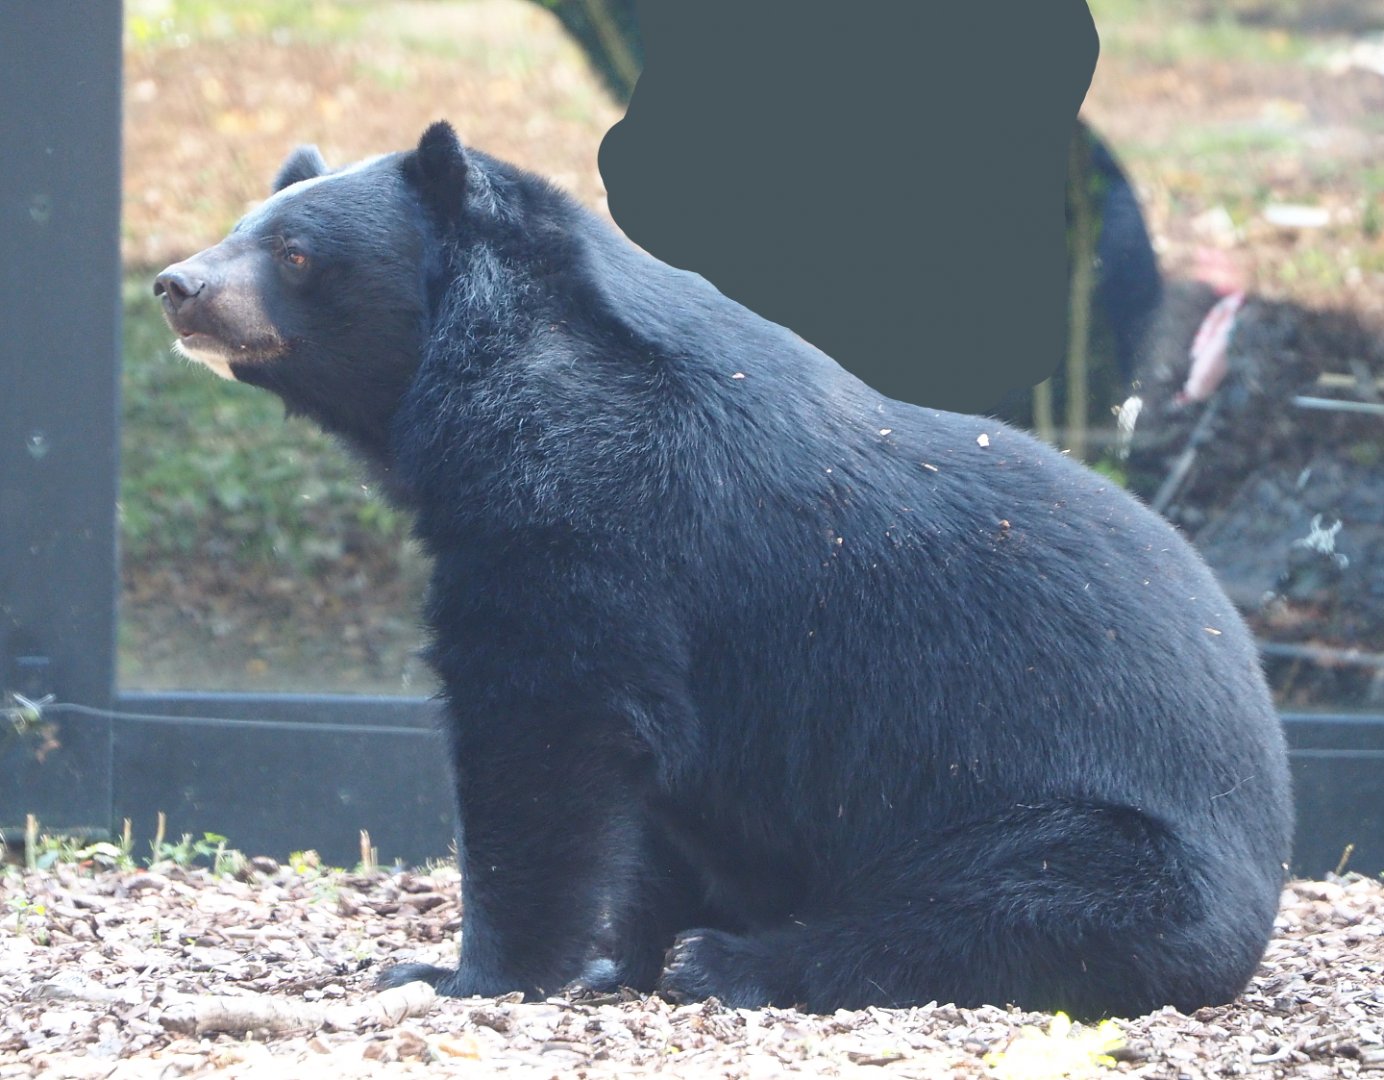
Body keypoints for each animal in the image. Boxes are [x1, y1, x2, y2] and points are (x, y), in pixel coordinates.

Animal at [154, 122, 1292, 1019]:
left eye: (295, 253)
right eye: (242, 228)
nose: (175, 286)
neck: (491, 368)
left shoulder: (587, 515)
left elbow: (546, 732)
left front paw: (457, 973)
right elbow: (655, 800)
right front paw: (610, 960)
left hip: (1102, 837)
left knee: (1002, 907)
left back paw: (737, 962)